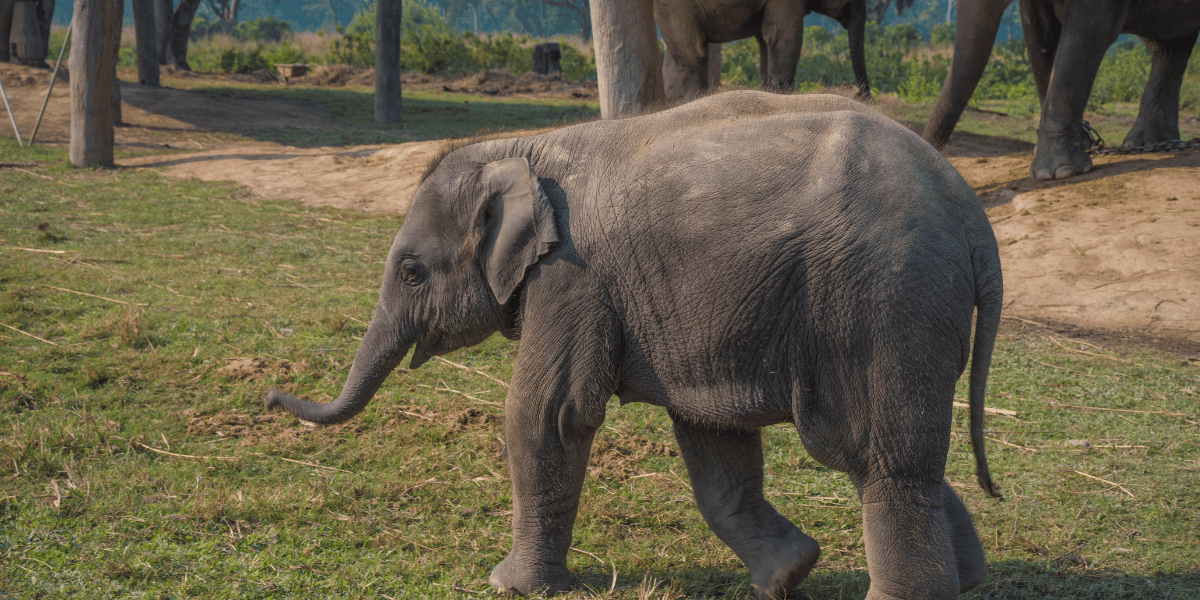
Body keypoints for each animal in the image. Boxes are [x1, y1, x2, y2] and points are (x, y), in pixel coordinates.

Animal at [265, 90, 1003, 600]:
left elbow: (550, 414)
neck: (525, 147)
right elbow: (713, 442)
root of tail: (969, 209)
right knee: (888, 452)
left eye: (412, 271)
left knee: (873, 452)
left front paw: (509, 585)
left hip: (883, 297)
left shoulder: (573, 277)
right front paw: (790, 575)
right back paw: (967, 581)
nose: (272, 396)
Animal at [657, 0, 873, 99]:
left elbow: (765, 40)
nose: (860, 95)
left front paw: (768, 92)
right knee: (693, 54)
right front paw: (781, 95)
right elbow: (785, 37)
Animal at [921, 0, 1195, 180]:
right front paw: (1078, 147)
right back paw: (1147, 142)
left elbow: (1087, 32)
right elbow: (1039, 33)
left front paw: (1057, 173)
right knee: (1169, 45)